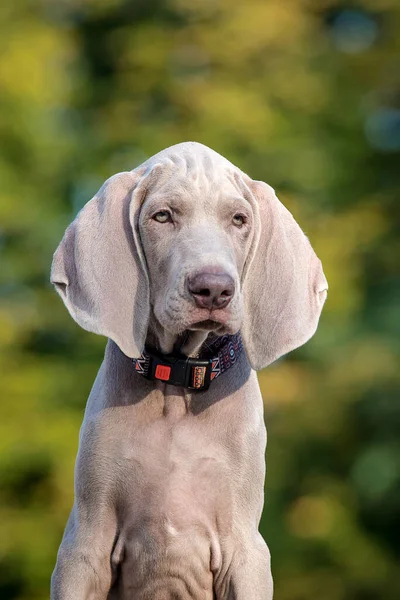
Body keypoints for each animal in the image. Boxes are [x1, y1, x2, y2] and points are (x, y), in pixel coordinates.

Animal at [50, 143, 328, 596]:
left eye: (239, 220)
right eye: (163, 216)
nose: (213, 289)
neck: (178, 378)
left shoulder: (245, 548)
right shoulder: (85, 544)